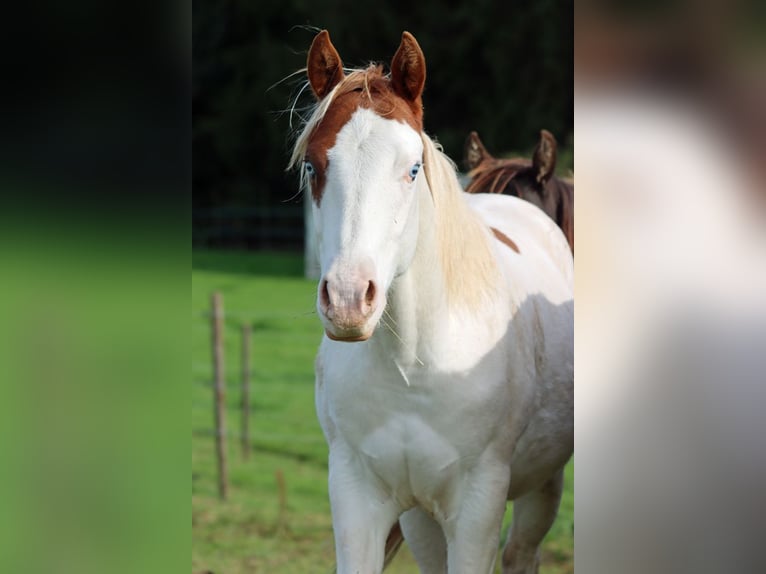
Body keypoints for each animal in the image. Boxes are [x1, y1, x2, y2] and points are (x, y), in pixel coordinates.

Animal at [289, 30, 573, 574]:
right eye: (313, 166)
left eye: (413, 168)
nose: (349, 299)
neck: (412, 368)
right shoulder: (357, 499)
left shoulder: (477, 511)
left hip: (541, 487)